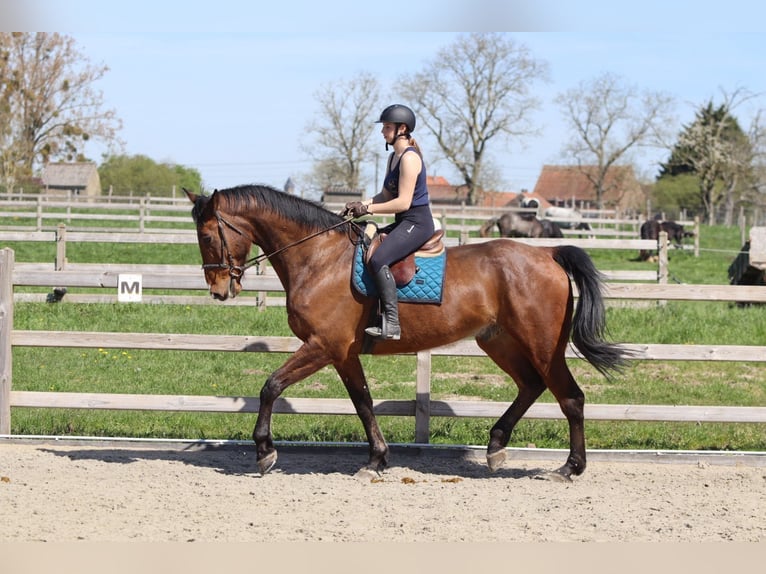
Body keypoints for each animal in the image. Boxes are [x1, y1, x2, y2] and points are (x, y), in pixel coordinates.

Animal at [185, 184, 626, 481]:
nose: (219, 291)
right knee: (532, 386)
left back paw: (569, 468)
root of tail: (547, 253)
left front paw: (264, 451)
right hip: (499, 340)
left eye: (206, 236)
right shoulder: (343, 353)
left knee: (570, 397)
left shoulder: (323, 346)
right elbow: (363, 402)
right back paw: (497, 447)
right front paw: (377, 459)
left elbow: (270, 386)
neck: (319, 258)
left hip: (542, 343)